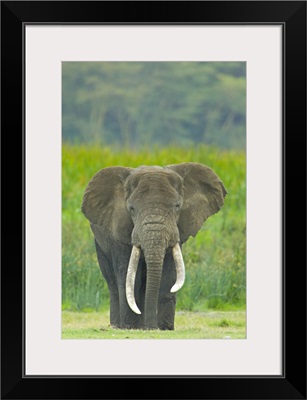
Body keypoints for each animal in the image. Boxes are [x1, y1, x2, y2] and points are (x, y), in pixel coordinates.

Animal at [81, 161, 226, 330]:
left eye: (177, 206)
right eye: (131, 209)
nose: (152, 328)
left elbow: (169, 276)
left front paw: (164, 328)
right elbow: (128, 277)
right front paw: (131, 327)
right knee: (112, 281)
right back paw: (120, 326)